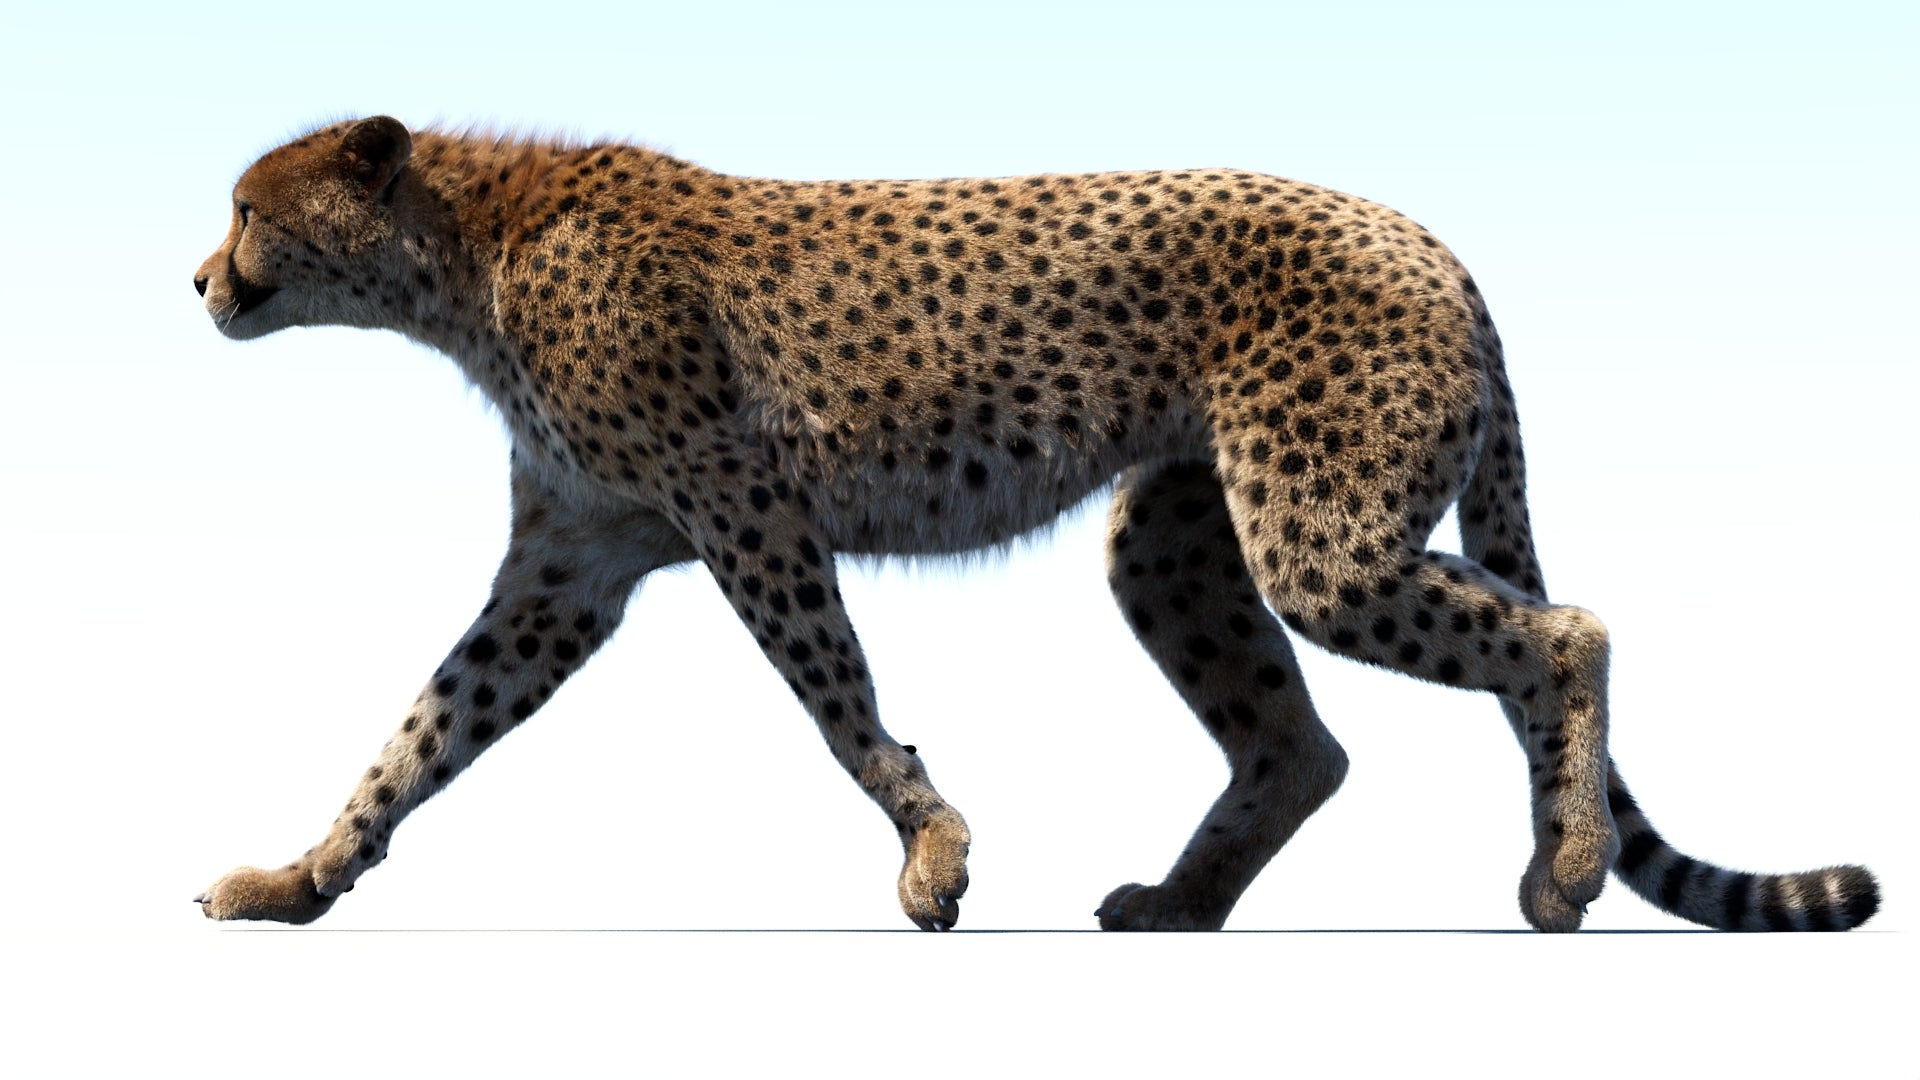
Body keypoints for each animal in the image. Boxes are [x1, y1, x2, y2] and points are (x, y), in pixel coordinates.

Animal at [193, 116, 1879, 932]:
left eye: (249, 209)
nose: (200, 279)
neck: (461, 252)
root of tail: (1430, 239)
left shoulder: (748, 513)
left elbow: (841, 705)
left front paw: (933, 858)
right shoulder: (571, 567)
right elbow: (418, 736)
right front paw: (301, 878)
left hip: (1318, 537)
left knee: (1568, 628)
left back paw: (1566, 869)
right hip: (1181, 539)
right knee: (1301, 741)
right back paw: (1184, 905)